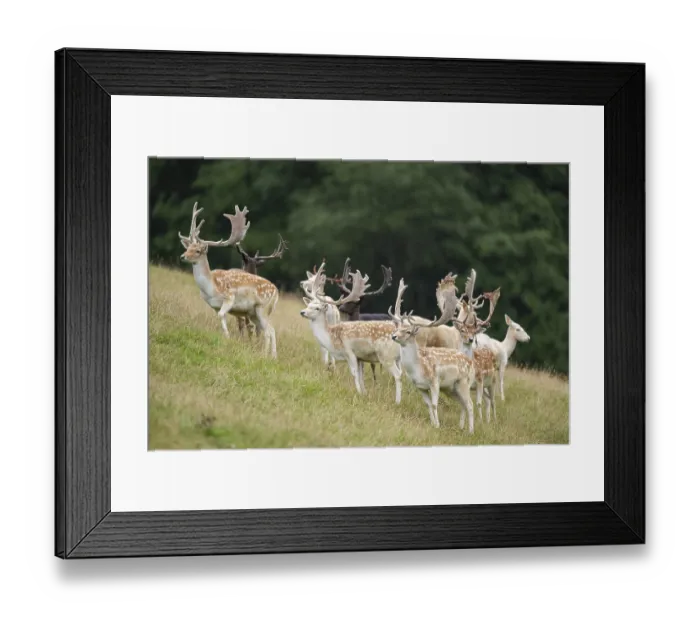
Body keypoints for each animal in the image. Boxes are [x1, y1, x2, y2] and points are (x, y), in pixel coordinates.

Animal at [178, 202, 279, 358]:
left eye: (198, 251)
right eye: (188, 247)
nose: (183, 256)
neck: (210, 287)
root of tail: (277, 291)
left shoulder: (229, 297)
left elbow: (222, 315)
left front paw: (228, 336)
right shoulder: (214, 306)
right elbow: (221, 317)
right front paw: (226, 337)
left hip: (262, 308)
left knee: (268, 331)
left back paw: (264, 355)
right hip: (253, 313)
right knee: (272, 330)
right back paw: (273, 357)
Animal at [300, 263, 403, 404]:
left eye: (317, 308)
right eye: (308, 304)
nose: (302, 312)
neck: (331, 339)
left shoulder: (350, 352)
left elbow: (354, 373)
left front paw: (358, 393)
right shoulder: (360, 357)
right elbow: (360, 375)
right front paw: (364, 393)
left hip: (386, 356)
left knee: (398, 375)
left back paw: (397, 402)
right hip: (398, 358)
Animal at [388, 278, 477, 433]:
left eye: (408, 331)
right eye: (398, 327)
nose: (394, 336)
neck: (418, 367)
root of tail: (472, 364)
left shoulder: (435, 381)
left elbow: (435, 404)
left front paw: (438, 425)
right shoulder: (420, 387)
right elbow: (428, 404)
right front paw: (433, 424)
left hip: (464, 383)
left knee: (470, 405)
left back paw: (471, 432)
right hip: (452, 389)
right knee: (463, 404)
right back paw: (461, 427)